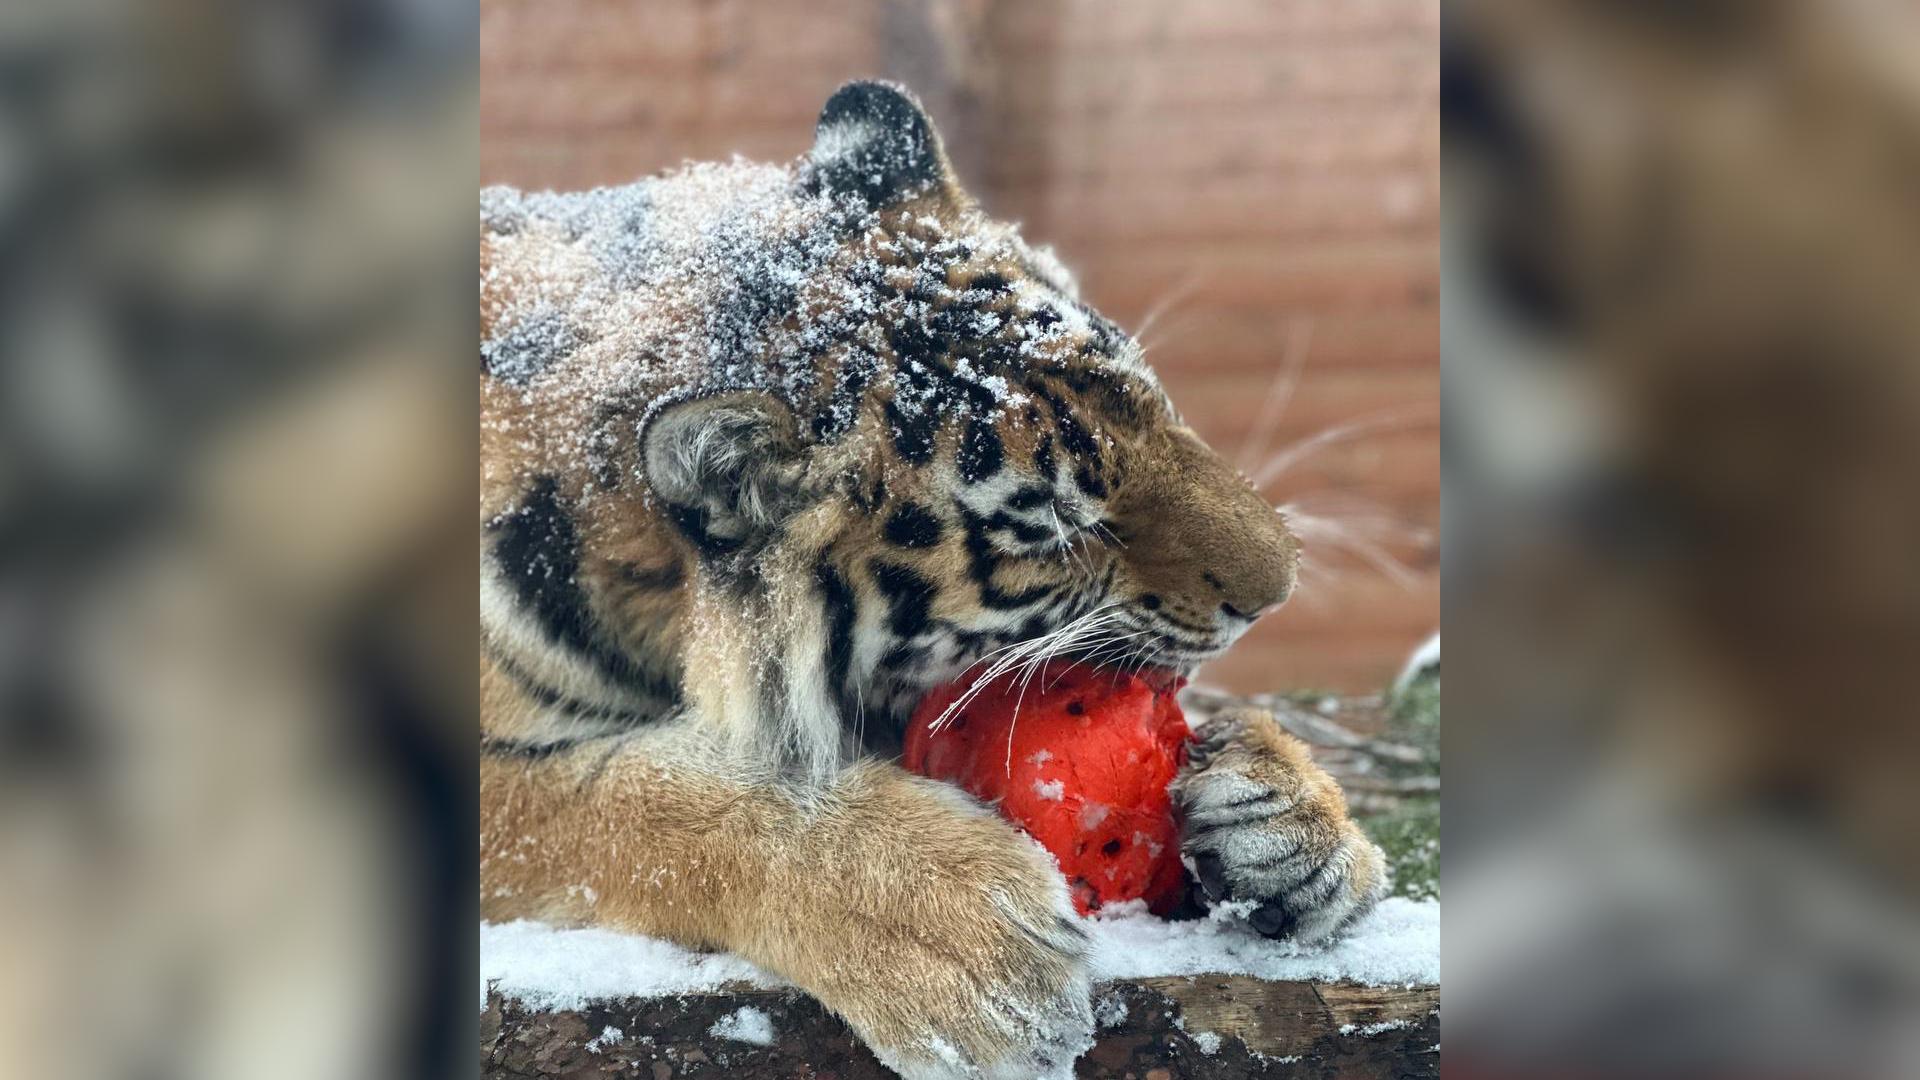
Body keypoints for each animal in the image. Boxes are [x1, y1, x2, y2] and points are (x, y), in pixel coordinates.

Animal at [476, 79, 1382, 1068]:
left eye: (1153, 405)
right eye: (1054, 524)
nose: (1277, 593)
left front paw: (1291, 824)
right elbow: (653, 804)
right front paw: (971, 947)